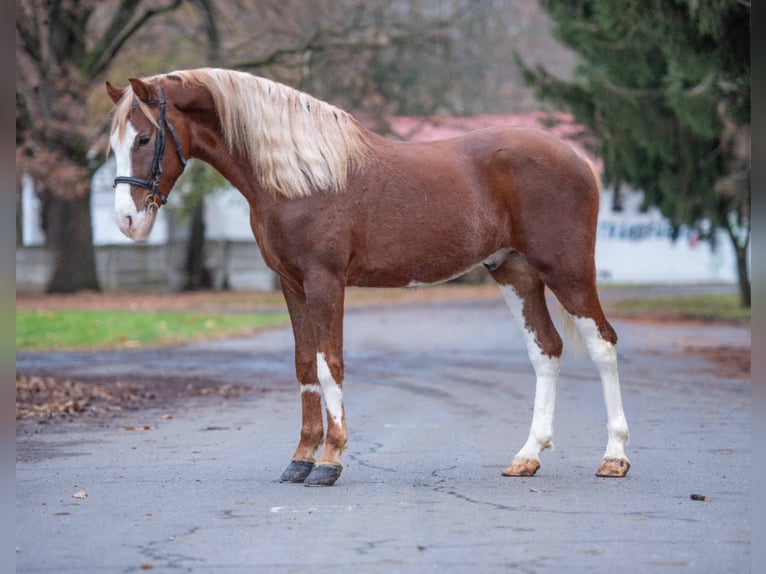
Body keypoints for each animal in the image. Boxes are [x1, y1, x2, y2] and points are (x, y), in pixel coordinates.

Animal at [106, 68, 630, 486]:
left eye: (145, 139)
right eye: (113, 144)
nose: (127, 221)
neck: (301, 174)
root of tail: (578, 158)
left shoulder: (325, 281)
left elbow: (328, 365)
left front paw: (329, 460)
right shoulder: (291, 284)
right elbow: (304, 365)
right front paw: (300, 459)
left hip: (568, 271)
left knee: (602, 344)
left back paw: (614, 457)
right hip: (515, 272)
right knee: (546, 350)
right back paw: (527, 457)